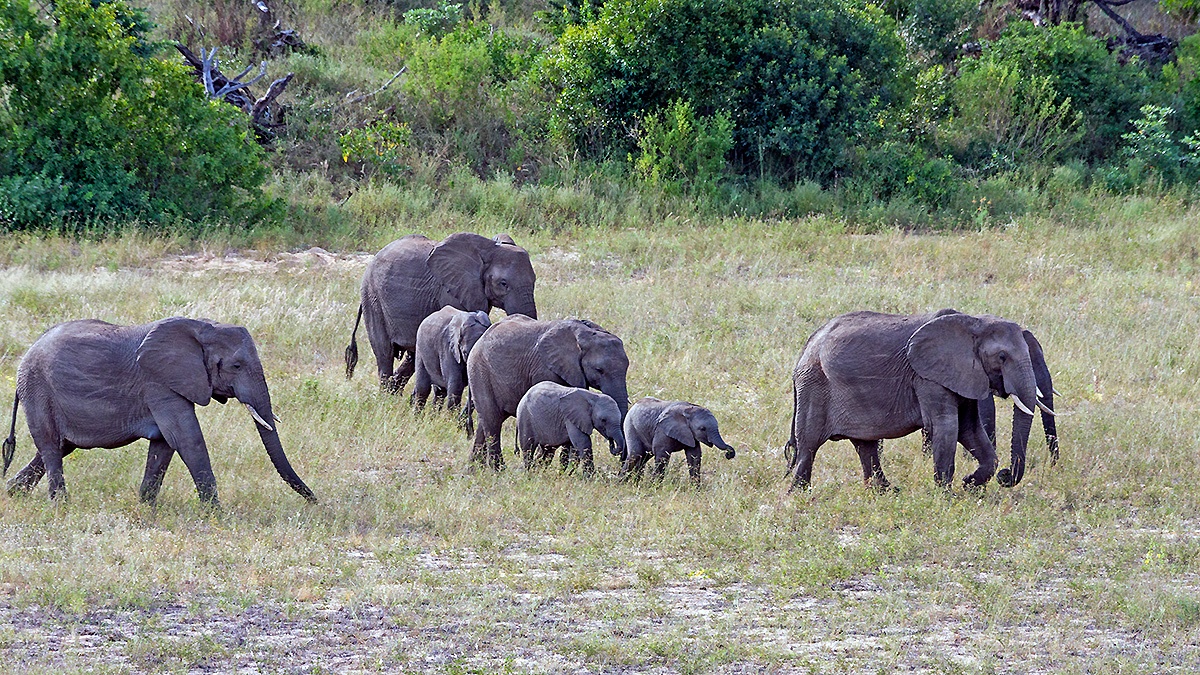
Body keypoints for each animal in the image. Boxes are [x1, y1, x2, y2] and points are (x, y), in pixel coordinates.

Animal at [1, 317, 317, 506]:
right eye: (236, 366)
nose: (315, 501)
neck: (202, 328)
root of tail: (25, 357)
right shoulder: (159, 383)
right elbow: (187, 438)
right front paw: (214, 512)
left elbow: (164, 444)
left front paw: (146, 506)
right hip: (38, 389)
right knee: (50, 446)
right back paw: (60, 505)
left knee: (58, 446)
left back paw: (11, 492)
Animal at [344, 232, 537, 394]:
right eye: (503, 283)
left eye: (534, 280)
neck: (487, 248)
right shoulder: (450, 291)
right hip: (373, 298)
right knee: (385, 353)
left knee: (412, 355)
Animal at [466, 315, 630, 470]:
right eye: (599, 370)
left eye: (627, 367)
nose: (621, 457)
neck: (584, 333)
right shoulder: (545, 368)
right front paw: (543, 466)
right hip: (479, 371)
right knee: (492, 422)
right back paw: (499, 471)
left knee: (487, 421)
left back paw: (474, 470)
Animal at [785, 309, 1055, 491]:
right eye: (1001, 357)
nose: (1005, 476)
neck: (973, 322)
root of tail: (807, 345)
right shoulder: (928, 377)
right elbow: (946, 427)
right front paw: (947, 496)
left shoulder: (964, 376)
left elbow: (969, 429)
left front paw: (969, 485)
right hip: (814, 384)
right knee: (809, 445)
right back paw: (800, 494)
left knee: (865, 445)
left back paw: (887, 492)